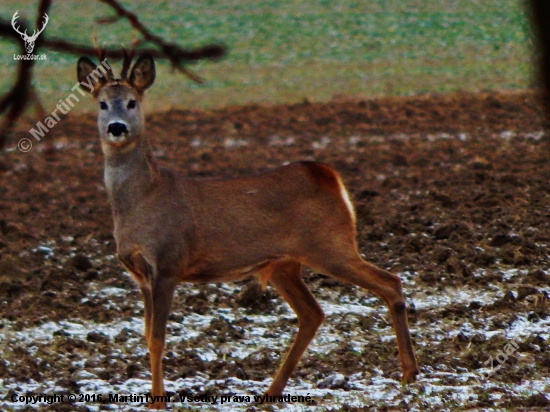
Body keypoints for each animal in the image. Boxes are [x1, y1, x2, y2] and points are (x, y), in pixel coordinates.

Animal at [77, 52, 420, 408]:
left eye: (132, 102)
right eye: (102, 104)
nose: (117, 127)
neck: (144, 198)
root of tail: (330, 177)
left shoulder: (168, 263)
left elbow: (158, 338)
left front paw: (158, 400)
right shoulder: (141, 275)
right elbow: (146, 336)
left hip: (330, 245)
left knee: (390, 283)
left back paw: (408, 372)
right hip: (286, 264)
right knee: (313, 313)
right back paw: (271, 393)